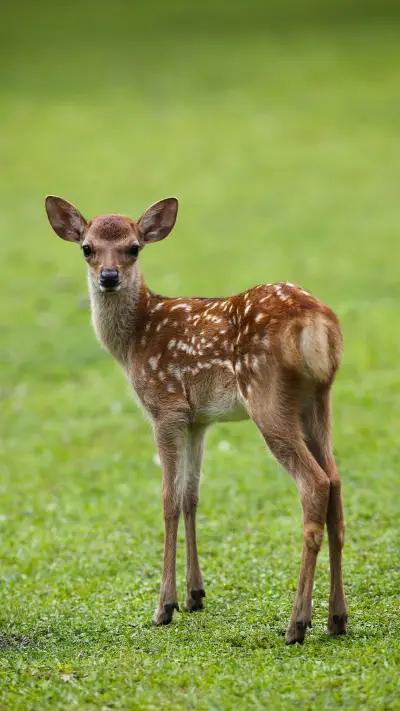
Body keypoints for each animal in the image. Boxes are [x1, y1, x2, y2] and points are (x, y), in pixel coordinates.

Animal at [45, 194, 347, 644]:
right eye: (87, 248)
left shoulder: (165, 407)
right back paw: (336, 618)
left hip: (267, 398)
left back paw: (297, 623)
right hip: (318, 400)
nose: (109, 276)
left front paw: (164, 606)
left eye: (134, 247)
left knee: (315, 484)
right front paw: (195, 595)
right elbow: (192, 496)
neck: (134, 340)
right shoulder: (198, 420)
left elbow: (168, 499)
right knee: (336, 482)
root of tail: (316, 323)